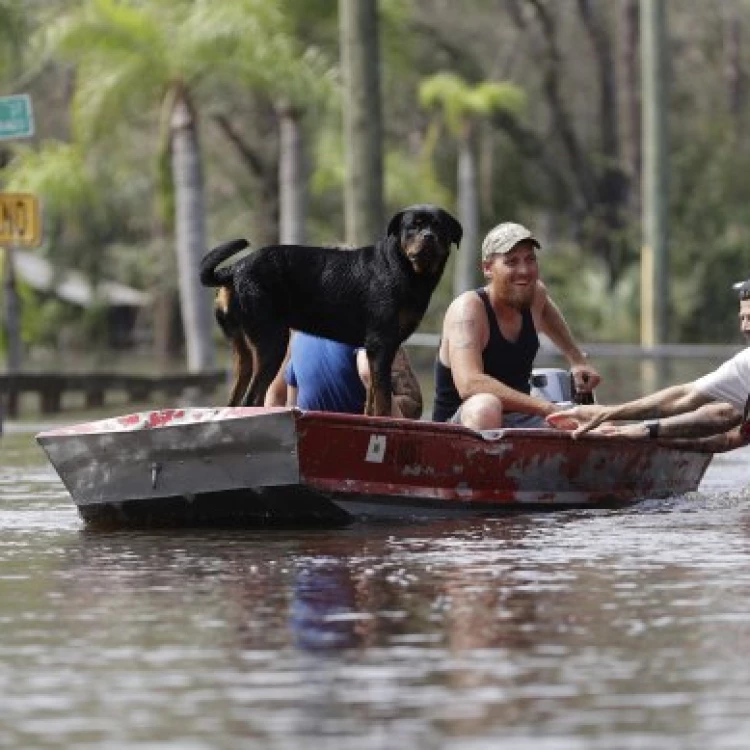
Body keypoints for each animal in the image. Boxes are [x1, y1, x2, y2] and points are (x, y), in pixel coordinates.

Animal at [200, 206, 462, 418]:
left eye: (440, 227)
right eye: (413, 227)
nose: (428, 236)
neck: (405, 269)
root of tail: (234, 269)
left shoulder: (375, 350)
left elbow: (371, 397)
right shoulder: (382, 344)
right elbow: (383, 399)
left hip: (243, 349)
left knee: (236, 397)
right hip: (272, 342)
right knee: (252, 399)